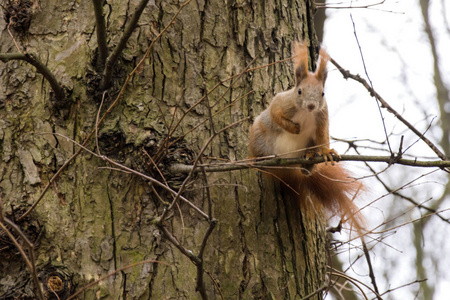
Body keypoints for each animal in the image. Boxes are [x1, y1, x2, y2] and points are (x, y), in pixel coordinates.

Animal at [250, 41, 362, 224]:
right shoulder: (282, 102)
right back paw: (257, 159)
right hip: (259, 136)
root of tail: (287, 166)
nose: (311, 105)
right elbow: (275, 114)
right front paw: (293, 128)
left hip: (308, 145)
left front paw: (326, 152)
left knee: (307, 166)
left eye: (322, 93)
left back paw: (309, 158)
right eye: (299, 91)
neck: (306, 113)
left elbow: (323, 136)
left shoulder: (322, 117)